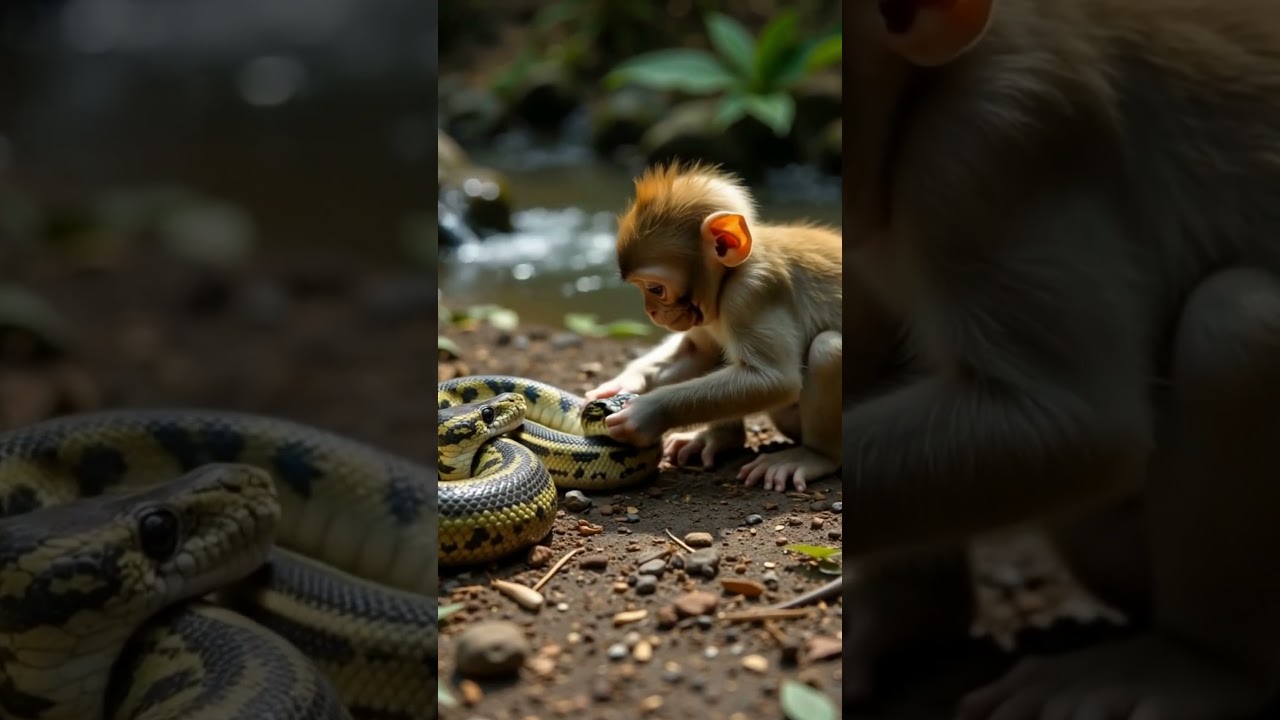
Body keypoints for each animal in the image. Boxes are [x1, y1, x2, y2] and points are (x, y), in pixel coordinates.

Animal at [584, 163, 850, 492]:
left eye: (656, 289)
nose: (652, 312)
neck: (734, 273)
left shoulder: (751, 292)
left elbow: (775, 379)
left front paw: (644, 414)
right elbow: (697, 350)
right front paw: (623, 384)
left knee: (828, 349)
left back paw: (813, 456)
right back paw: (716, 439)